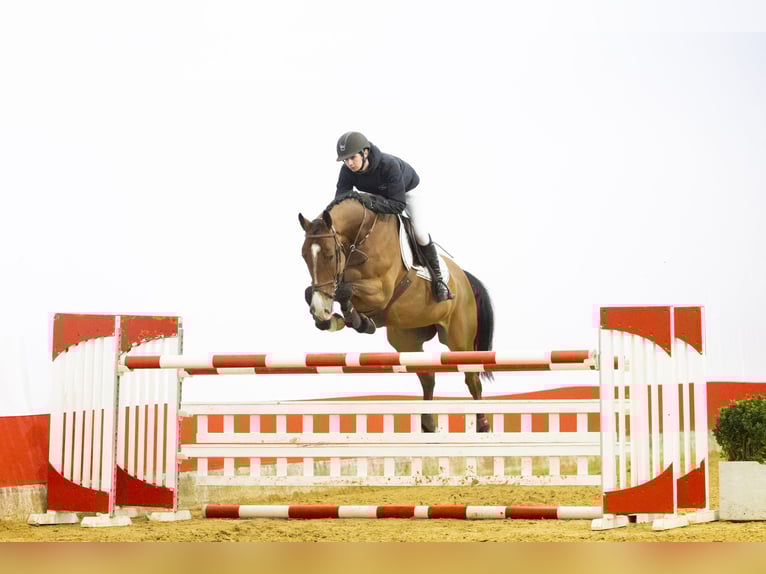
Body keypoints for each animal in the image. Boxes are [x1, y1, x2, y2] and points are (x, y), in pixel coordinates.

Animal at [298, 191, 495, 432]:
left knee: (472, 379)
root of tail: (464, 278)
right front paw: (330, 318)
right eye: (304, 256)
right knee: (427, 376)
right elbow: (315, 292)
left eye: (328, 255)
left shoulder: (381, 291)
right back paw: (428, 424)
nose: (321, 309)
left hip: (459, 341)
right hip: (406, 339)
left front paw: (353, 319)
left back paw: (482, 425)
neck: (360, 238)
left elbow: (346, 290)